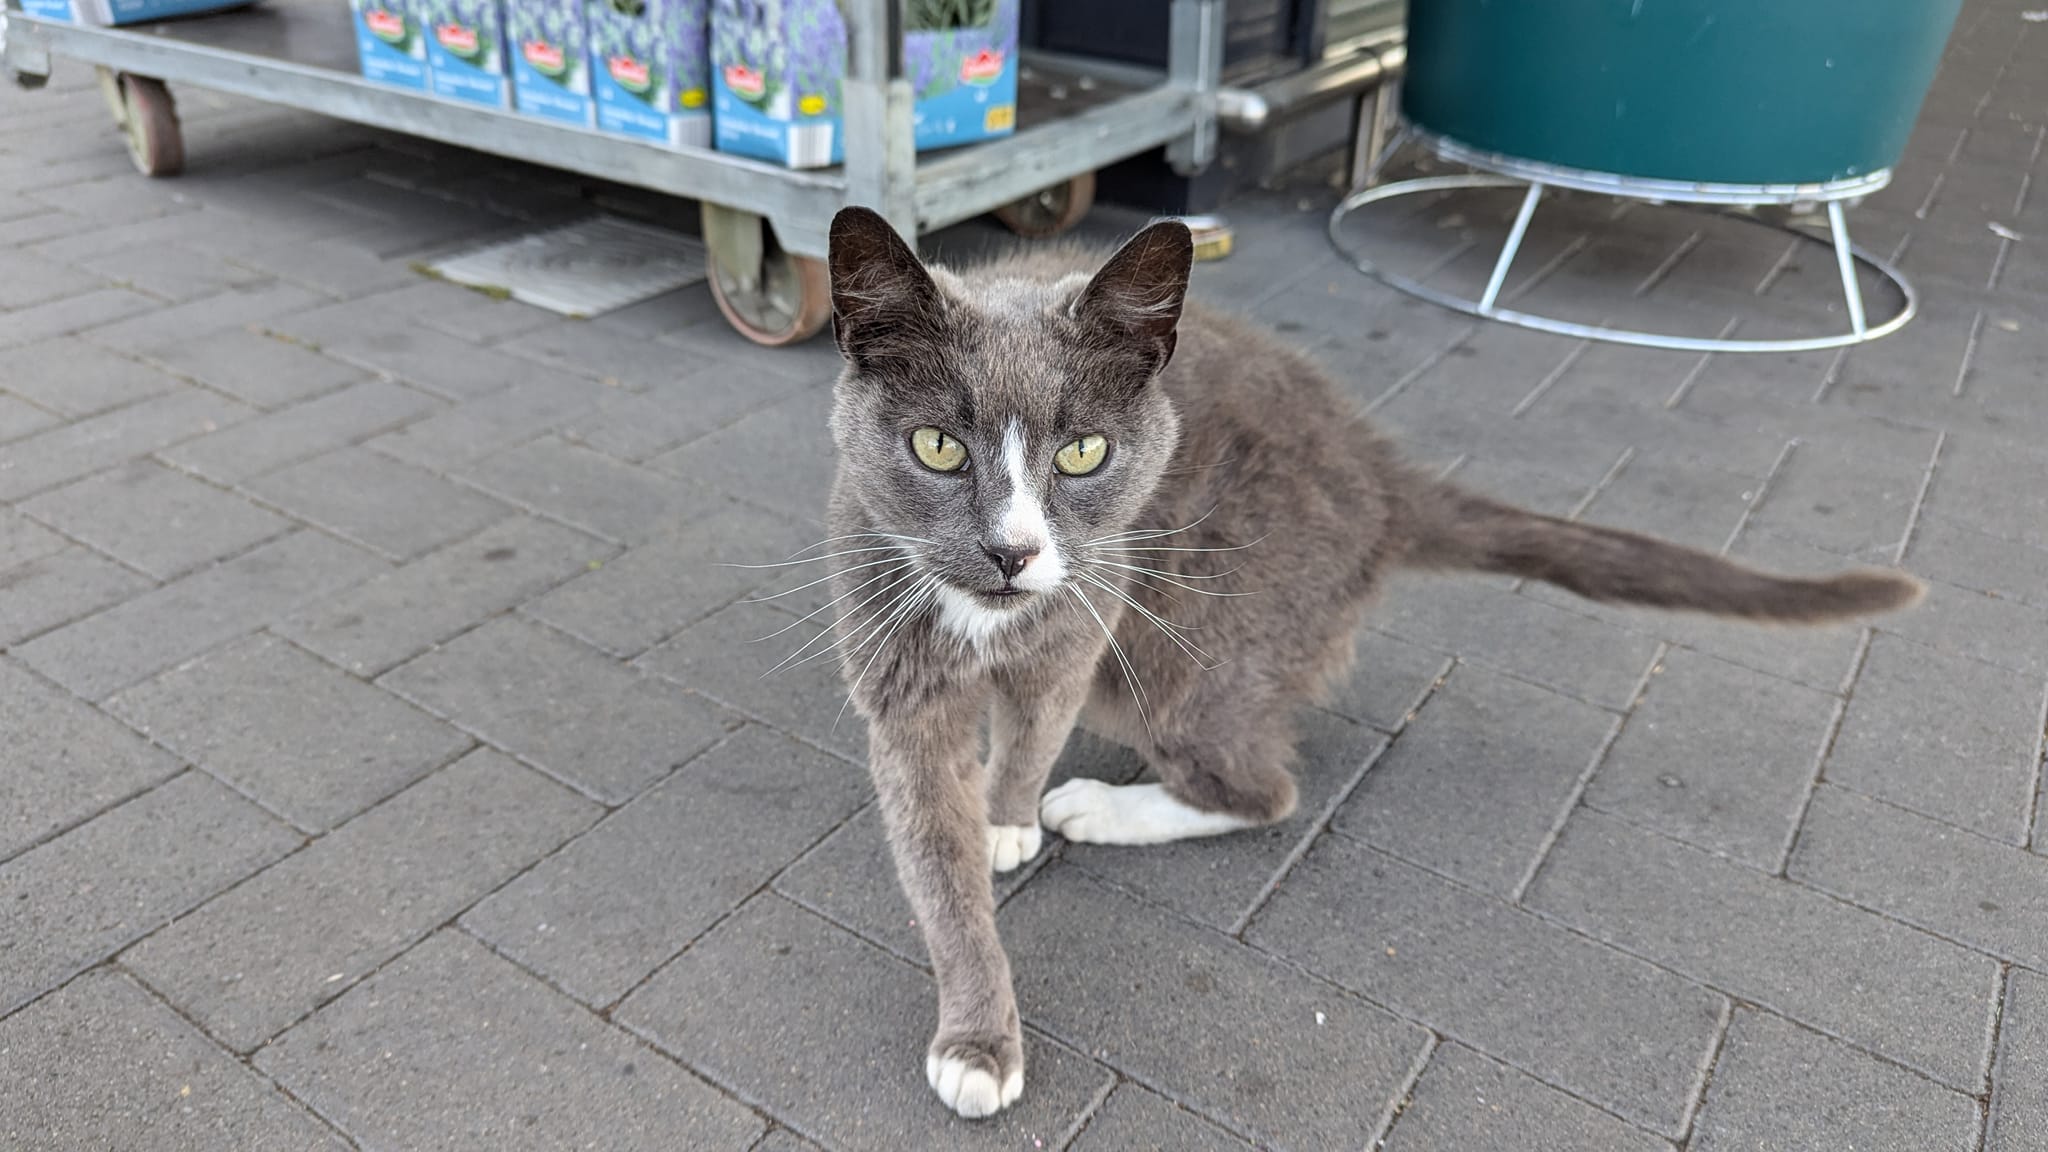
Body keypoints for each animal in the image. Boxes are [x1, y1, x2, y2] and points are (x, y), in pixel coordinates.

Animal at [802, 203, 1916, 1115]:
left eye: (1084, 455)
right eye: (937, 447)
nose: (1013, 552)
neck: (990, 621)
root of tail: (1384, 482)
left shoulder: (1085, 613)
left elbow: (1034, 734)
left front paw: (1008, 819)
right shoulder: (894, 660)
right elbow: (935, 860)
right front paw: (978, 1021)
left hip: (1186, 638)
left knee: (1261, 788)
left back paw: (1105, 807)